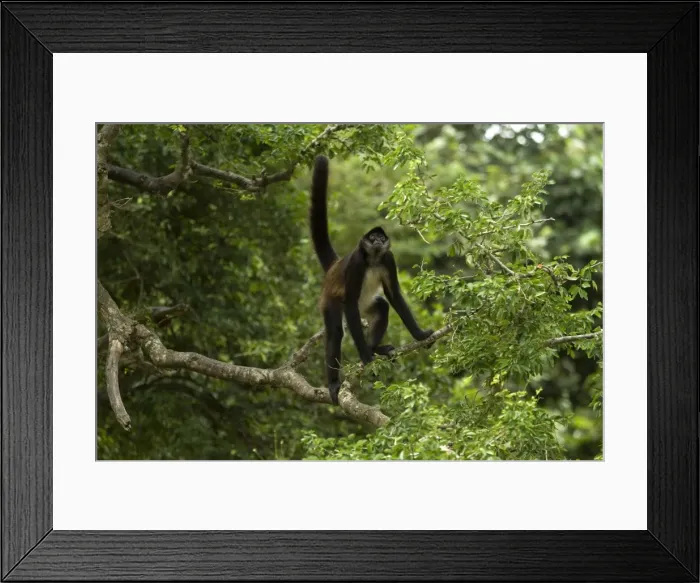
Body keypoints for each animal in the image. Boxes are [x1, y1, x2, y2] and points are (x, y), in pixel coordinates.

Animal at [309, 154, 434, 405]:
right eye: (372, 237)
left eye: (381, 238)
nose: (377, 240)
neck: (374, 259)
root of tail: (335, 267)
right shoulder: (358, 261)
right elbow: (349, 301)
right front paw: (365, 357)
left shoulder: (388, 258)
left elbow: (394, 295)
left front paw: (420, 335)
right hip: (330, 300)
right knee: (336, 331)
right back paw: (335, 381)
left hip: (365, 304)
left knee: (382, 307)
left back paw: (375, 348)